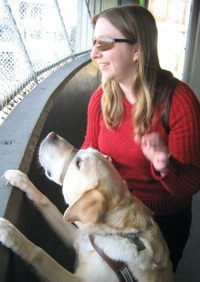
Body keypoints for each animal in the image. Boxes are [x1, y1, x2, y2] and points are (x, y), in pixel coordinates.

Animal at [0, 132, 173, 282]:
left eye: (78, 164)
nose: (52, 135)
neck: (115, 232)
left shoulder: (76, 279)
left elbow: (41, 255)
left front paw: (9, 232)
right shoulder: (77, 238)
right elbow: (46, 201)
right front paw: (21, 179)